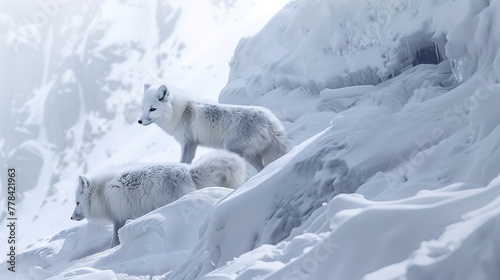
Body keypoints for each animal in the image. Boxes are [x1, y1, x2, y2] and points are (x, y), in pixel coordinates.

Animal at [71, 151, 247, 247]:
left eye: (77, 203)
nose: (71, 217)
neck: (101, 193)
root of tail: (188, 172)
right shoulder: (119, 218)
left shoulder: (118, 217)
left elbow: (114, 240)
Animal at [139, 83, 292, 171]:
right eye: (143, 108)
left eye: (152, 109)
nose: (139, 121)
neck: (180, 112)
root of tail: (268, 119)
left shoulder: (189, 142)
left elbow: (184, 161)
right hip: (252, 156)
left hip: (234, 150)